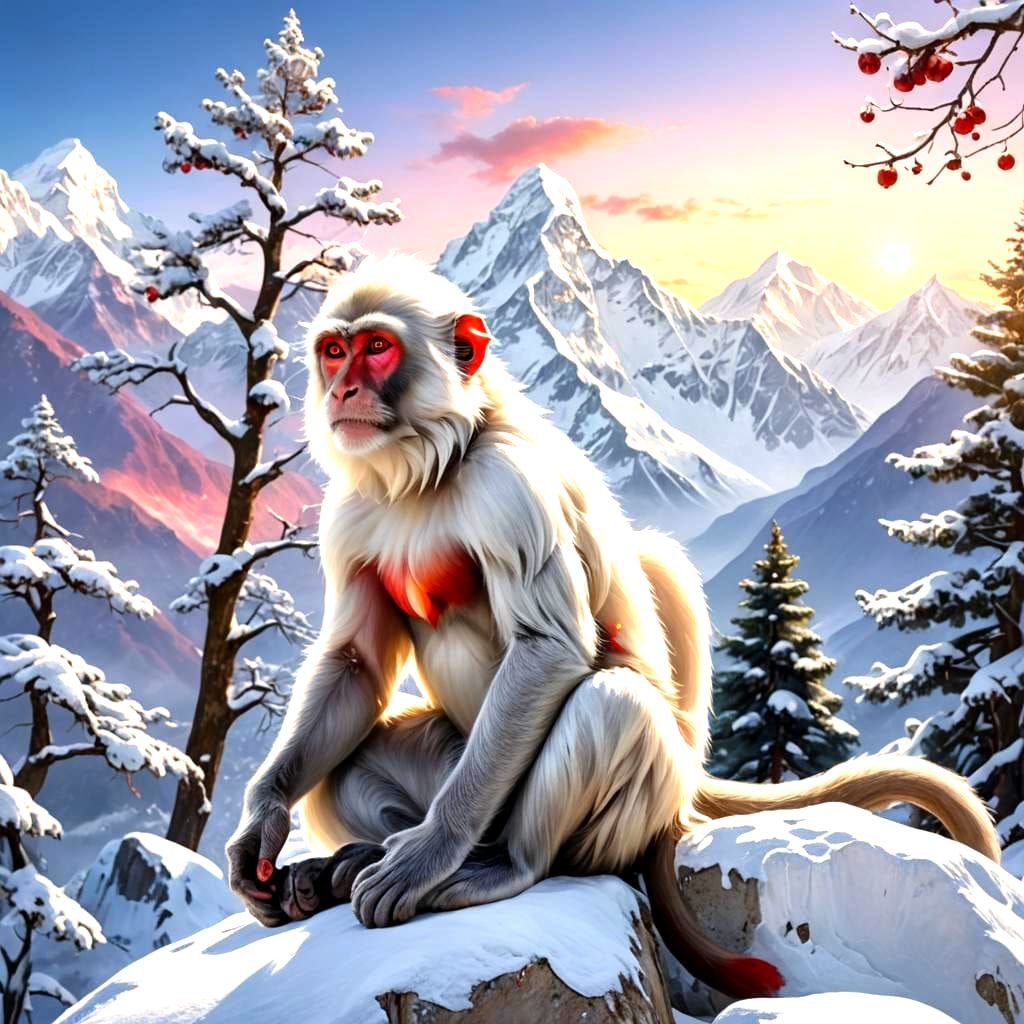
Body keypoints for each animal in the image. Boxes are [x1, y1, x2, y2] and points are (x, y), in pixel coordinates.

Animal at [226, 254, 1000, 999]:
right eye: (334, 351)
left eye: (378, 348)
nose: (342, 392)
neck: (433, 466)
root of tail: (686, 791)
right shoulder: (352, 509)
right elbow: (354, 663)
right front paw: (261, 824)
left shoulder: (510, 488)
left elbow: (548, 649)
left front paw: (429, 852)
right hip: (460, 761)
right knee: (346, 765)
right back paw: (346, 861)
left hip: (625, 805)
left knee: (613, 705)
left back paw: (497, 863)